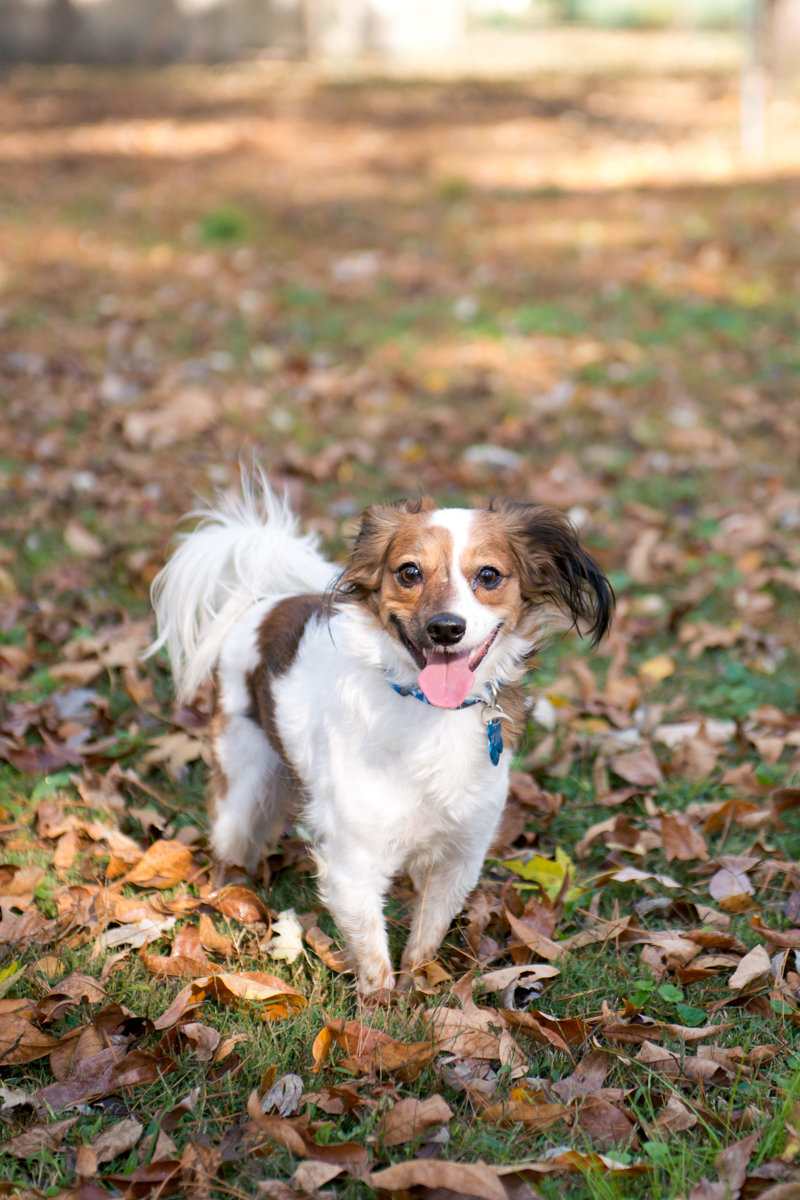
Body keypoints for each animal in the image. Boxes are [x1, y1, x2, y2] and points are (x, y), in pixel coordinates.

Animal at [149, 477, 614, 993]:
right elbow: (374, 958)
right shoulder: (353, 863)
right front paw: (382, 1009)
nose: (446, 628)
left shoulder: (460, 857)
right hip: (243, 783)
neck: (432, 714)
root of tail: (271, 600)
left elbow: (424, 940)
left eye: (489, 576)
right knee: (233, 848)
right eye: (409, 572)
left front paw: (417, 990)